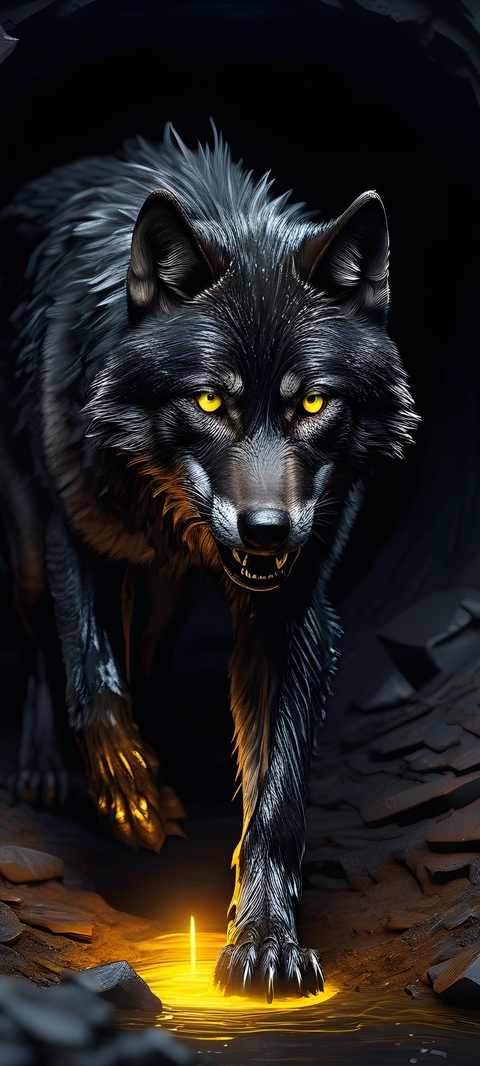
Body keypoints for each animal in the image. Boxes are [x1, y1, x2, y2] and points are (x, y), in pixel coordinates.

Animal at [1, 126, 417, 1000]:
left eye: (313, 403)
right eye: (209, 401)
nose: (266, 532)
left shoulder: (292, 613)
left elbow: (277, 795)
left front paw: (266, 941)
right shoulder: (74, 532)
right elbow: (95, 679)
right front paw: (133, 798)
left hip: (168, 599)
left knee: (149, 651)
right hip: (24, 545)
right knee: (42, 643)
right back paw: (47, 770)